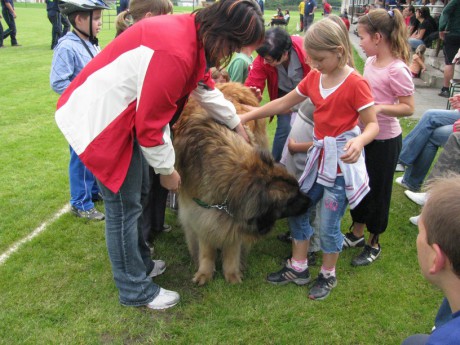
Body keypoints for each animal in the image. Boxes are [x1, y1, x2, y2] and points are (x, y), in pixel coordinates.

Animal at [174, 82, 310, 284]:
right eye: (291, 200)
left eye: (299, 189)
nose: (311, 199)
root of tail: (231, 84)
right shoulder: (200, 211)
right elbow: (206, 246)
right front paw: (205, 271)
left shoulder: (235, 216)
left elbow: (233, 245)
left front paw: (231, 273)